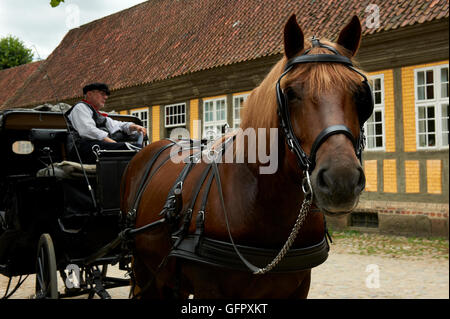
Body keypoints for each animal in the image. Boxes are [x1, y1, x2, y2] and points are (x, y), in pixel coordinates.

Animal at [120, 14, 370, 300]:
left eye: (361, 95)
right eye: (290, 93)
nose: (342, 180)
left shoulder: (298, 287)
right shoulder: (209, 290)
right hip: (143, 267)